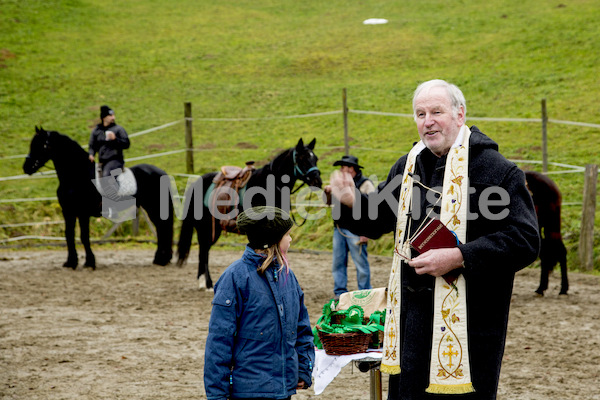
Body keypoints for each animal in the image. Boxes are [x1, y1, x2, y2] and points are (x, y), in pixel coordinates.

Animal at [23, 127, 173, 268]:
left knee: (162, 227)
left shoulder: (82, 213)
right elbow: (69, 235)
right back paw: (160, 259)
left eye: (42, 145)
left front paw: (90, 262)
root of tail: (160, 171)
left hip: (154, 206)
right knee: (161, 227)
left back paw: (162, 259)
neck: (77, 176)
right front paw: (71, 262)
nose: (26, 167)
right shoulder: (68, 212)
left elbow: (84, 236)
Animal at [176, 139, 322, 290]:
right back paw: (206, 283)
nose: (318, 181)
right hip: (205, 228)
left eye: (315, 158)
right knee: (203, 251)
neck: (269, 185)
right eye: (302, 159)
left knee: (205, 250)